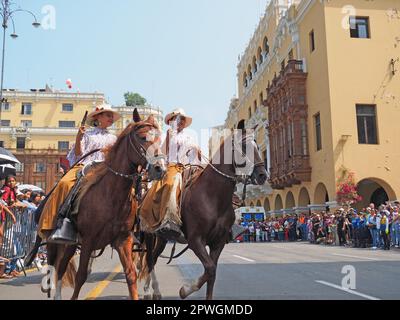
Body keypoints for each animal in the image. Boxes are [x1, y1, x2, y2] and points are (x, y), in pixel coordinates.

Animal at [44, 110, 166, 300]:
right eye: (142, 137)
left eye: (159, 139)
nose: (159, 169)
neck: (111, 195)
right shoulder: (88, 240)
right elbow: (81, 276)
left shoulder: (123, 239)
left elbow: (131, 274)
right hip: (56, 242)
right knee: (57, 268)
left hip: (71, 244)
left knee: (62, 266)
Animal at [139, 128, 268, 300]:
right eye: (244, 146)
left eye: (258, 147)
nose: (262, 175)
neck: (212, 197)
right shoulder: (196, 240)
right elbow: (210, 269)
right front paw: (185, 290)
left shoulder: (218, 243)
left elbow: (211, 272)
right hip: (149, 235)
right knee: (150, 259)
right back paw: (149, 291)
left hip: (162, 238)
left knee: (153, 257)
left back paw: (153, 291)